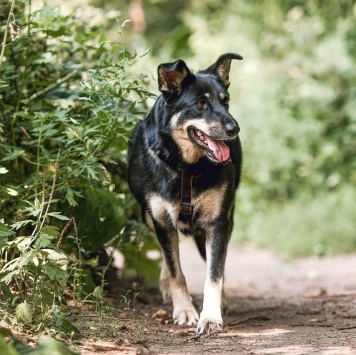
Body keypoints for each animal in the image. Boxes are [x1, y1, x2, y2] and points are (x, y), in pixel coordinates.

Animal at [127, 52, 242, 334]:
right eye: (200, 103)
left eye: (226, 101)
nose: (234, 129)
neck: (185, 167)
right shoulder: (160, 220)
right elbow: (175, 270)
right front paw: (184, 310)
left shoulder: (218, 223)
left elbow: (214, 273)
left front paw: (210, 316)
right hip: (149, 217)